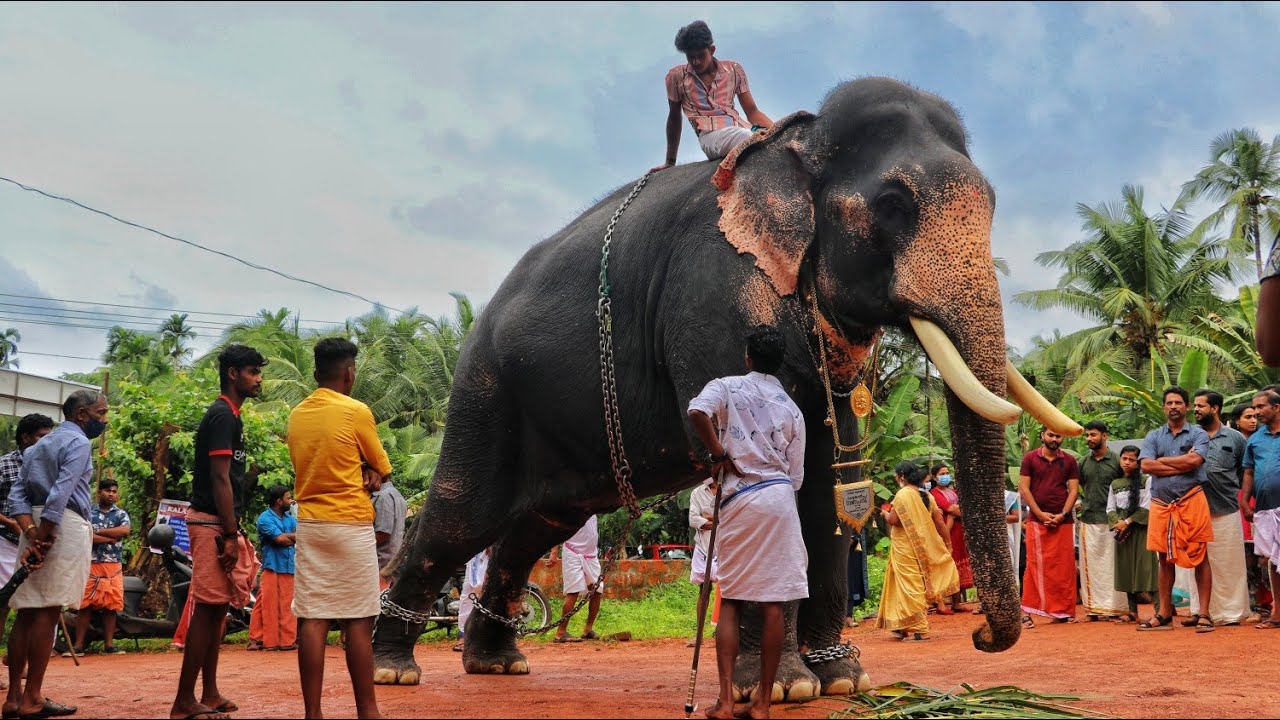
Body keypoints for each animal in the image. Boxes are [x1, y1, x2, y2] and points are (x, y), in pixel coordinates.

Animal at [372, 76, 1080, 700]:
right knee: (463, 518)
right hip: (486, 388)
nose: (984, 638)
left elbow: (830, 485)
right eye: (893, 206)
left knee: (536, 524)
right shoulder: (710, 295)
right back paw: (394, 669)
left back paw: (498, 663)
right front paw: (783, 686)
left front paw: (842, 680)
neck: (799, 145)